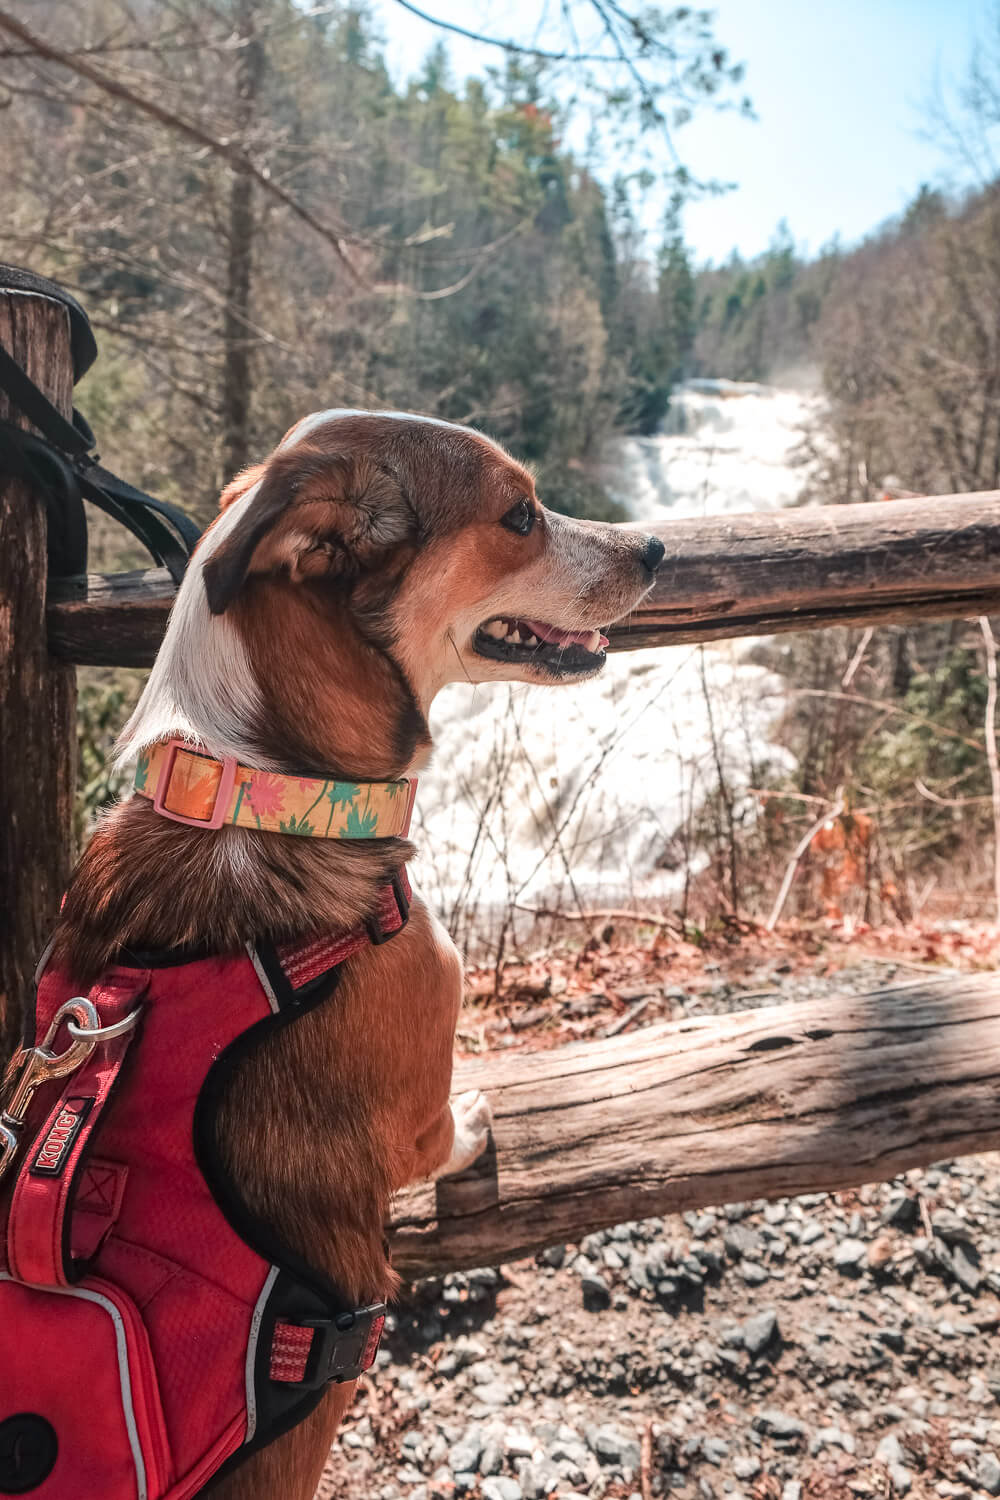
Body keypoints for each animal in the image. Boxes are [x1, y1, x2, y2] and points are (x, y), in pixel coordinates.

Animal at [52, 414, 665, 1500]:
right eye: (520, 513)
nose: (657, 548)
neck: (262, 792)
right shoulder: (412, 1112)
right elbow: (443, 1133)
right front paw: (479, 1116)